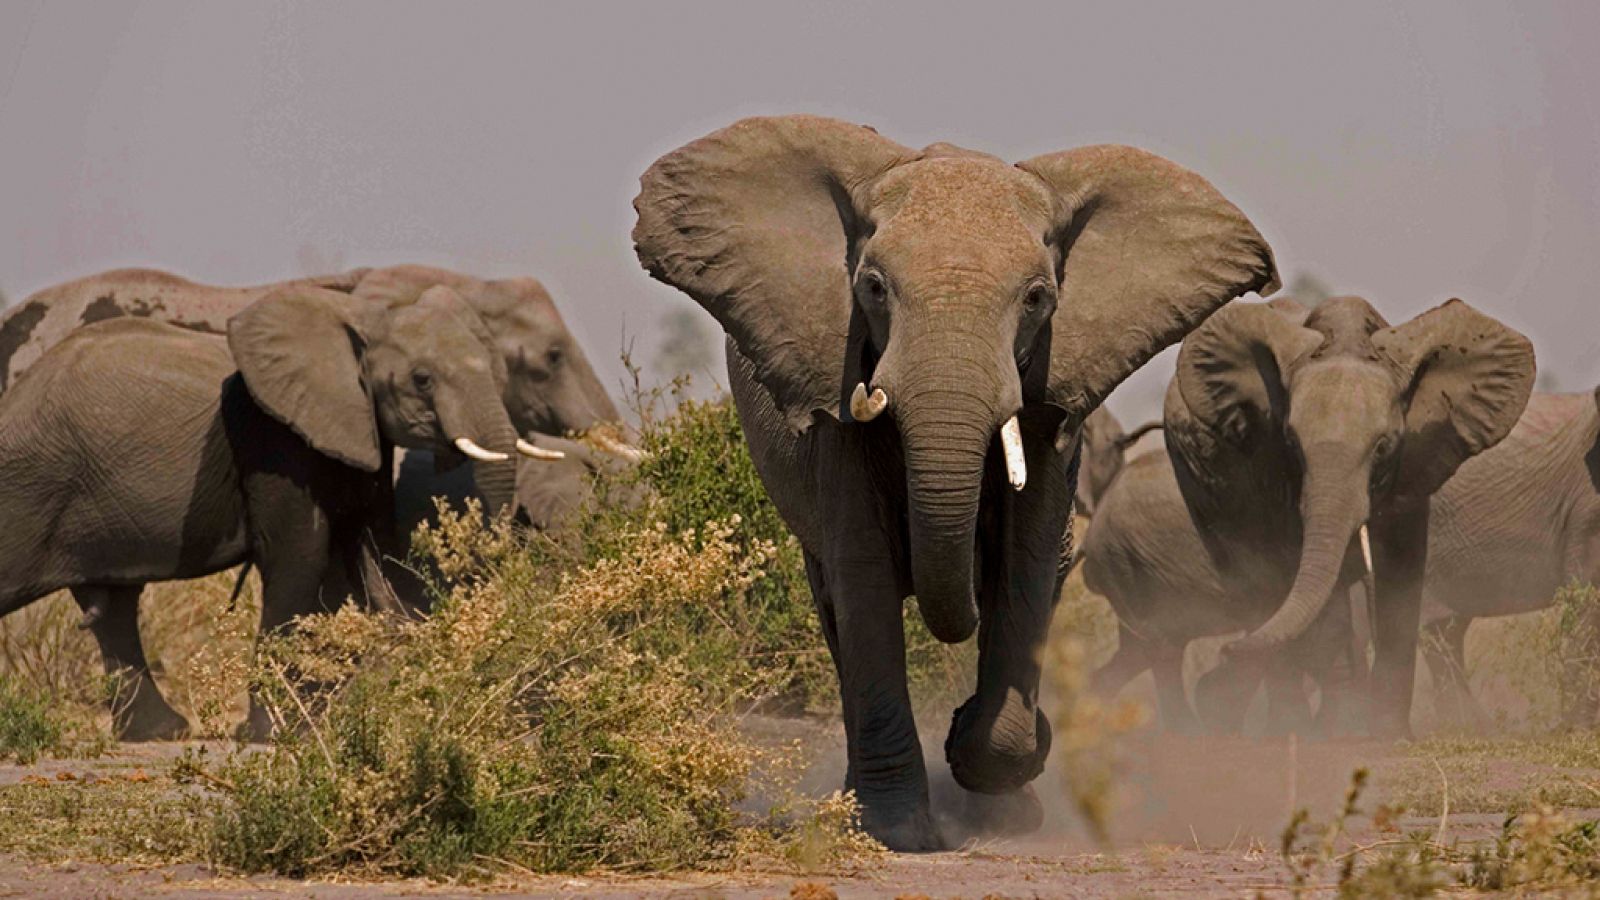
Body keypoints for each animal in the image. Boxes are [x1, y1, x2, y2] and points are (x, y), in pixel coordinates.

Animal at [0, 284, 540, 741]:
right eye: (422, 380)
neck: (360, 320)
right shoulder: (275, 440)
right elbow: (299, 558)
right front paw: (275, 735)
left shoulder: (356, 433)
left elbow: (359, 555)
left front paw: (318, 722)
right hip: (32, 481)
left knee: (115, 607)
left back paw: (160, 734)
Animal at [632, 114, 1278, 849]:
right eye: (873, 288)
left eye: (1038, 299)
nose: (960, 718)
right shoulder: (840, 397)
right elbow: (865, 578)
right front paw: (900, 830)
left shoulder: (1050, 402)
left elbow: (1024, 567)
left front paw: (997, 787)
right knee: (834, 605)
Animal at [1082, 295, 1536, 738]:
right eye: (1292, 443)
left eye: (1384, 446)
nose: (1225, 655)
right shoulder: (1268, 467)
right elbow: (1305, 583)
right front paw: (1334, 732)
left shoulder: (1417, 460)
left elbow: (1401, 573)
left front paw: (1386, 734)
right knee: (1245, 591)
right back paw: (1278, 727)